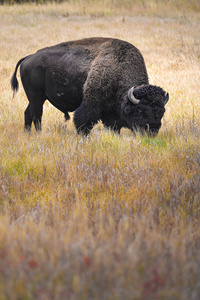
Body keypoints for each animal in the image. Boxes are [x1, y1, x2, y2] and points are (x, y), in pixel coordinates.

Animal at [10, 37, 169, 135]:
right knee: (37, 115)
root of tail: (28, 58)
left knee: (28, 113)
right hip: (36, 96)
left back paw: (28, 134)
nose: (152, 131)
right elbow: (83, 122)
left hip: (36, 98)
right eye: (141, 110)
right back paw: (38, 134)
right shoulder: (91, 104)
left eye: (161, 112)